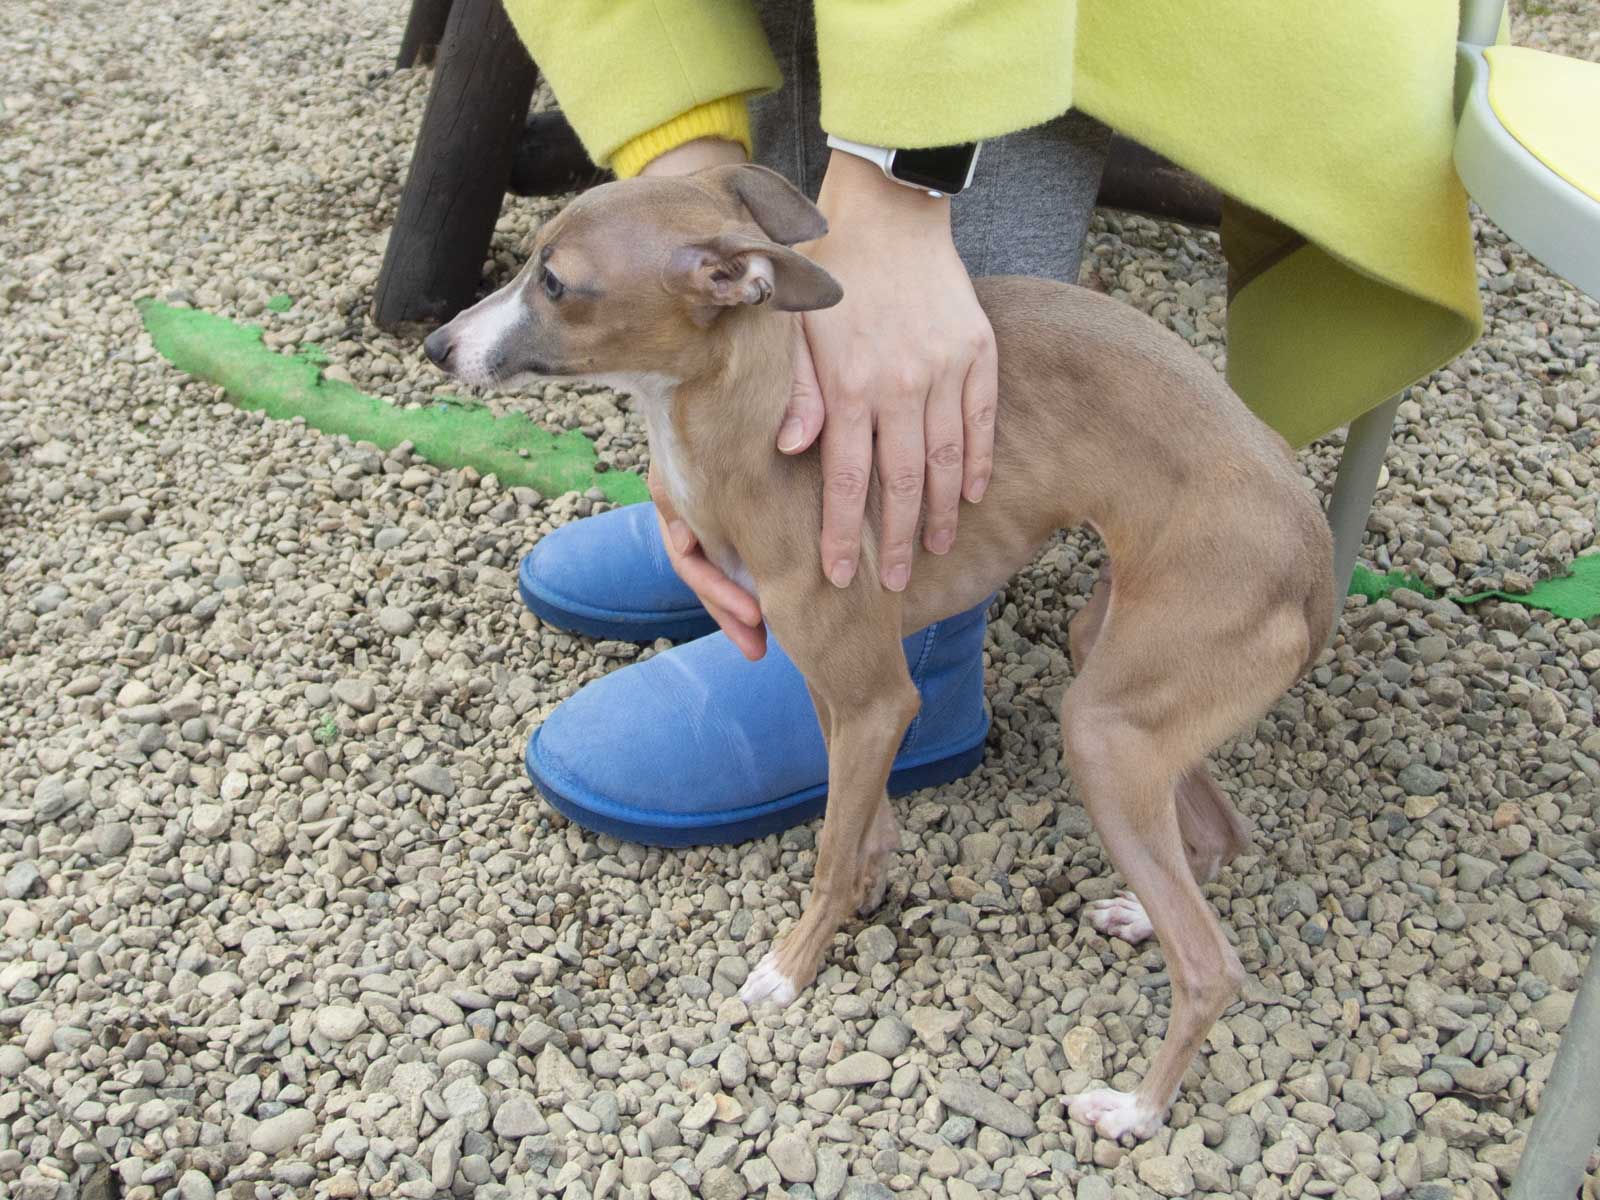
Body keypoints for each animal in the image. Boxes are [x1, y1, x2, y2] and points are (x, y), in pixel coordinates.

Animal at [419, 167, 1331, 1139]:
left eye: (556, 284)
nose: (436, 345)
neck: (760, 420)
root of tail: (1315, 561)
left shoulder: (875, 696)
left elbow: (827, 848)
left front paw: (791, 964)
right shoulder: (841, 688)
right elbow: (857, 813)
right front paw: (870, 875)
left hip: (1106, 730)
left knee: (1210, 965)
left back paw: (1136, 1110)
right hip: (1123, 675)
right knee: (1219, 835)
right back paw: (1137, 919)